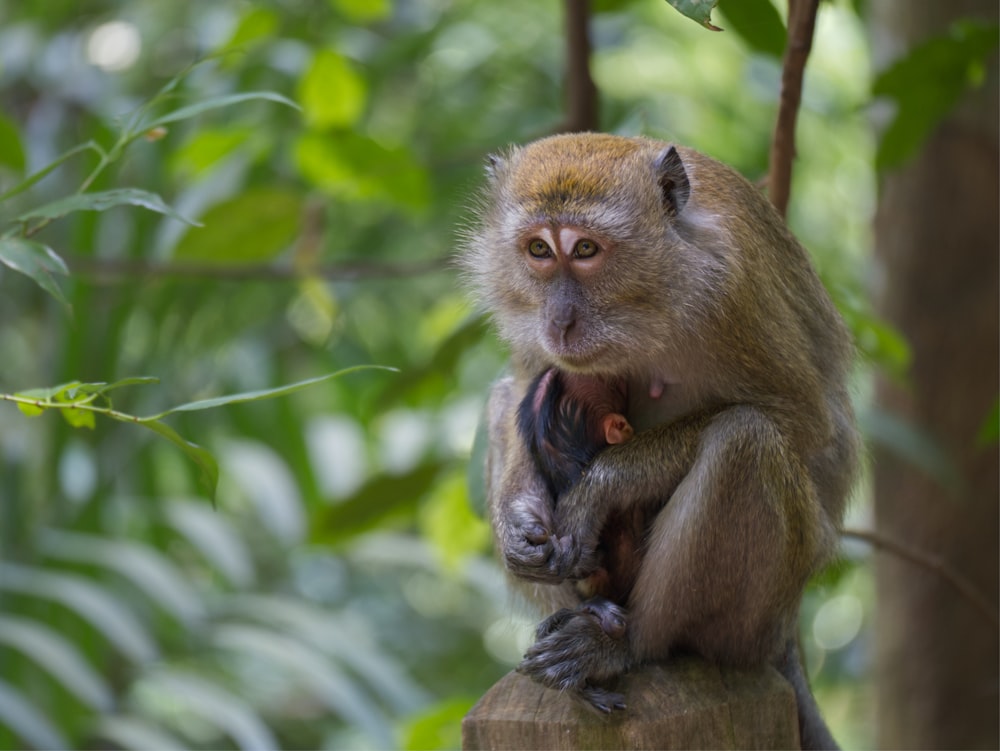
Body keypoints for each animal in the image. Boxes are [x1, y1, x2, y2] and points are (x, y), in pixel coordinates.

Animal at [460, 132, 860, 748]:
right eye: (538, 250)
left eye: (584, 249)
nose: (560, 320)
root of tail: (786, 628)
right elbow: (527, 385)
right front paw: (521, 525)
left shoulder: (734, 289)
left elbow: (805, 421)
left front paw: (603, 486)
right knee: (506, 397)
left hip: (766, 602)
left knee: (745, 440)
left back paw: (628, 645)